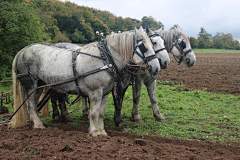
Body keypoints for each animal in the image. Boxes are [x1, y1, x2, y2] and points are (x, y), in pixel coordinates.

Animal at [9, 27, 160, 136]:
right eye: (145, 46)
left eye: (153, 44)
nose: (157, 68)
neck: (105, 58)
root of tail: (22, 51)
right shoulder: (95, 92)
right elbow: (93, 113)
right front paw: (95, 132)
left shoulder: (105, 93)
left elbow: (100, 113)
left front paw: (102, 132)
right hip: (31, 85)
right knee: (30, 105)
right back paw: (39, 125)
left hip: (39, 86)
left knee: (33, 105)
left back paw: (33, 124)